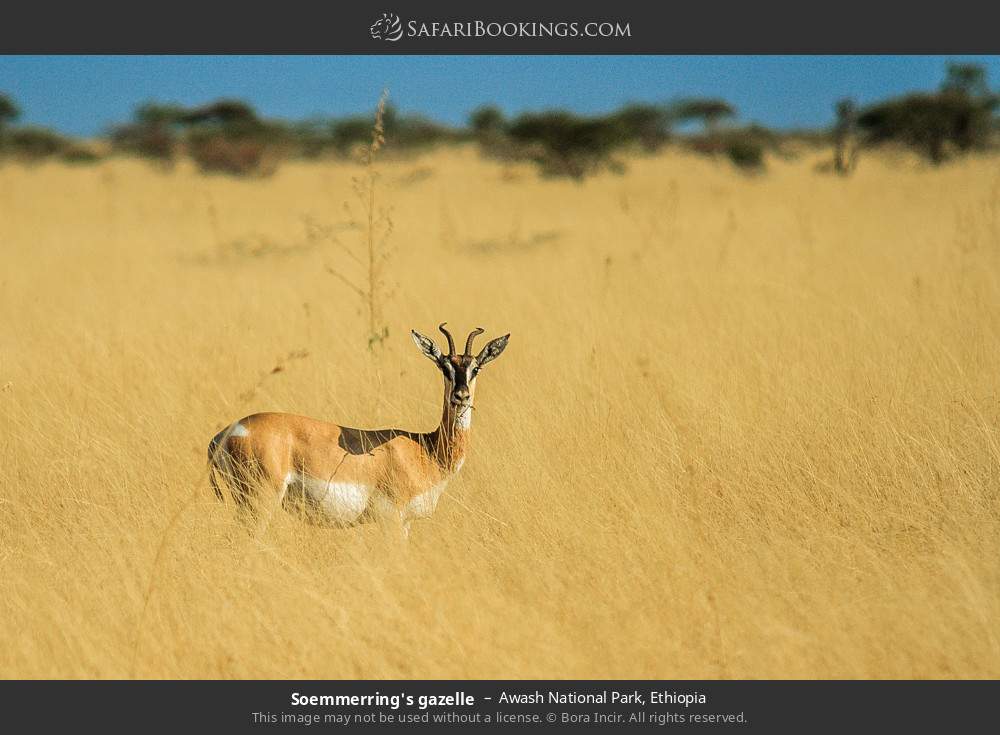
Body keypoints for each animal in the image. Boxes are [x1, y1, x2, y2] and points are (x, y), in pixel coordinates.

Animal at [208, 324, 509, 536]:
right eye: (444, 367)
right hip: (260, 504)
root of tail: (225, 434)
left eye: (476, 368)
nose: (461, 396)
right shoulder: (392, 520)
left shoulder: (405, 524)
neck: (426, 450)